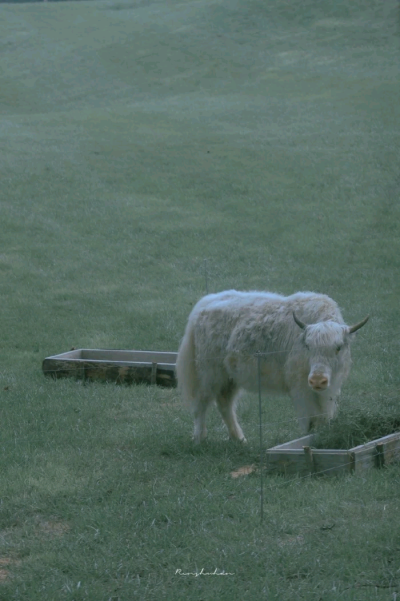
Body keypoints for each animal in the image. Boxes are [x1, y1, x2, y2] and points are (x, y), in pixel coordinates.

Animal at [177, 288, 370, 442]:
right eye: (307, 346)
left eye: (338, 347)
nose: (317, 380)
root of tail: (204, 305)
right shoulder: (300, 390)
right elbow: (309, 420)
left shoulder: (330, 390)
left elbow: (324, 417)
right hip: (209, 375)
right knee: (201, 403)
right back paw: (200, 439)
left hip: (229, 378)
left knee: (225, 404)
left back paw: (239, 439)